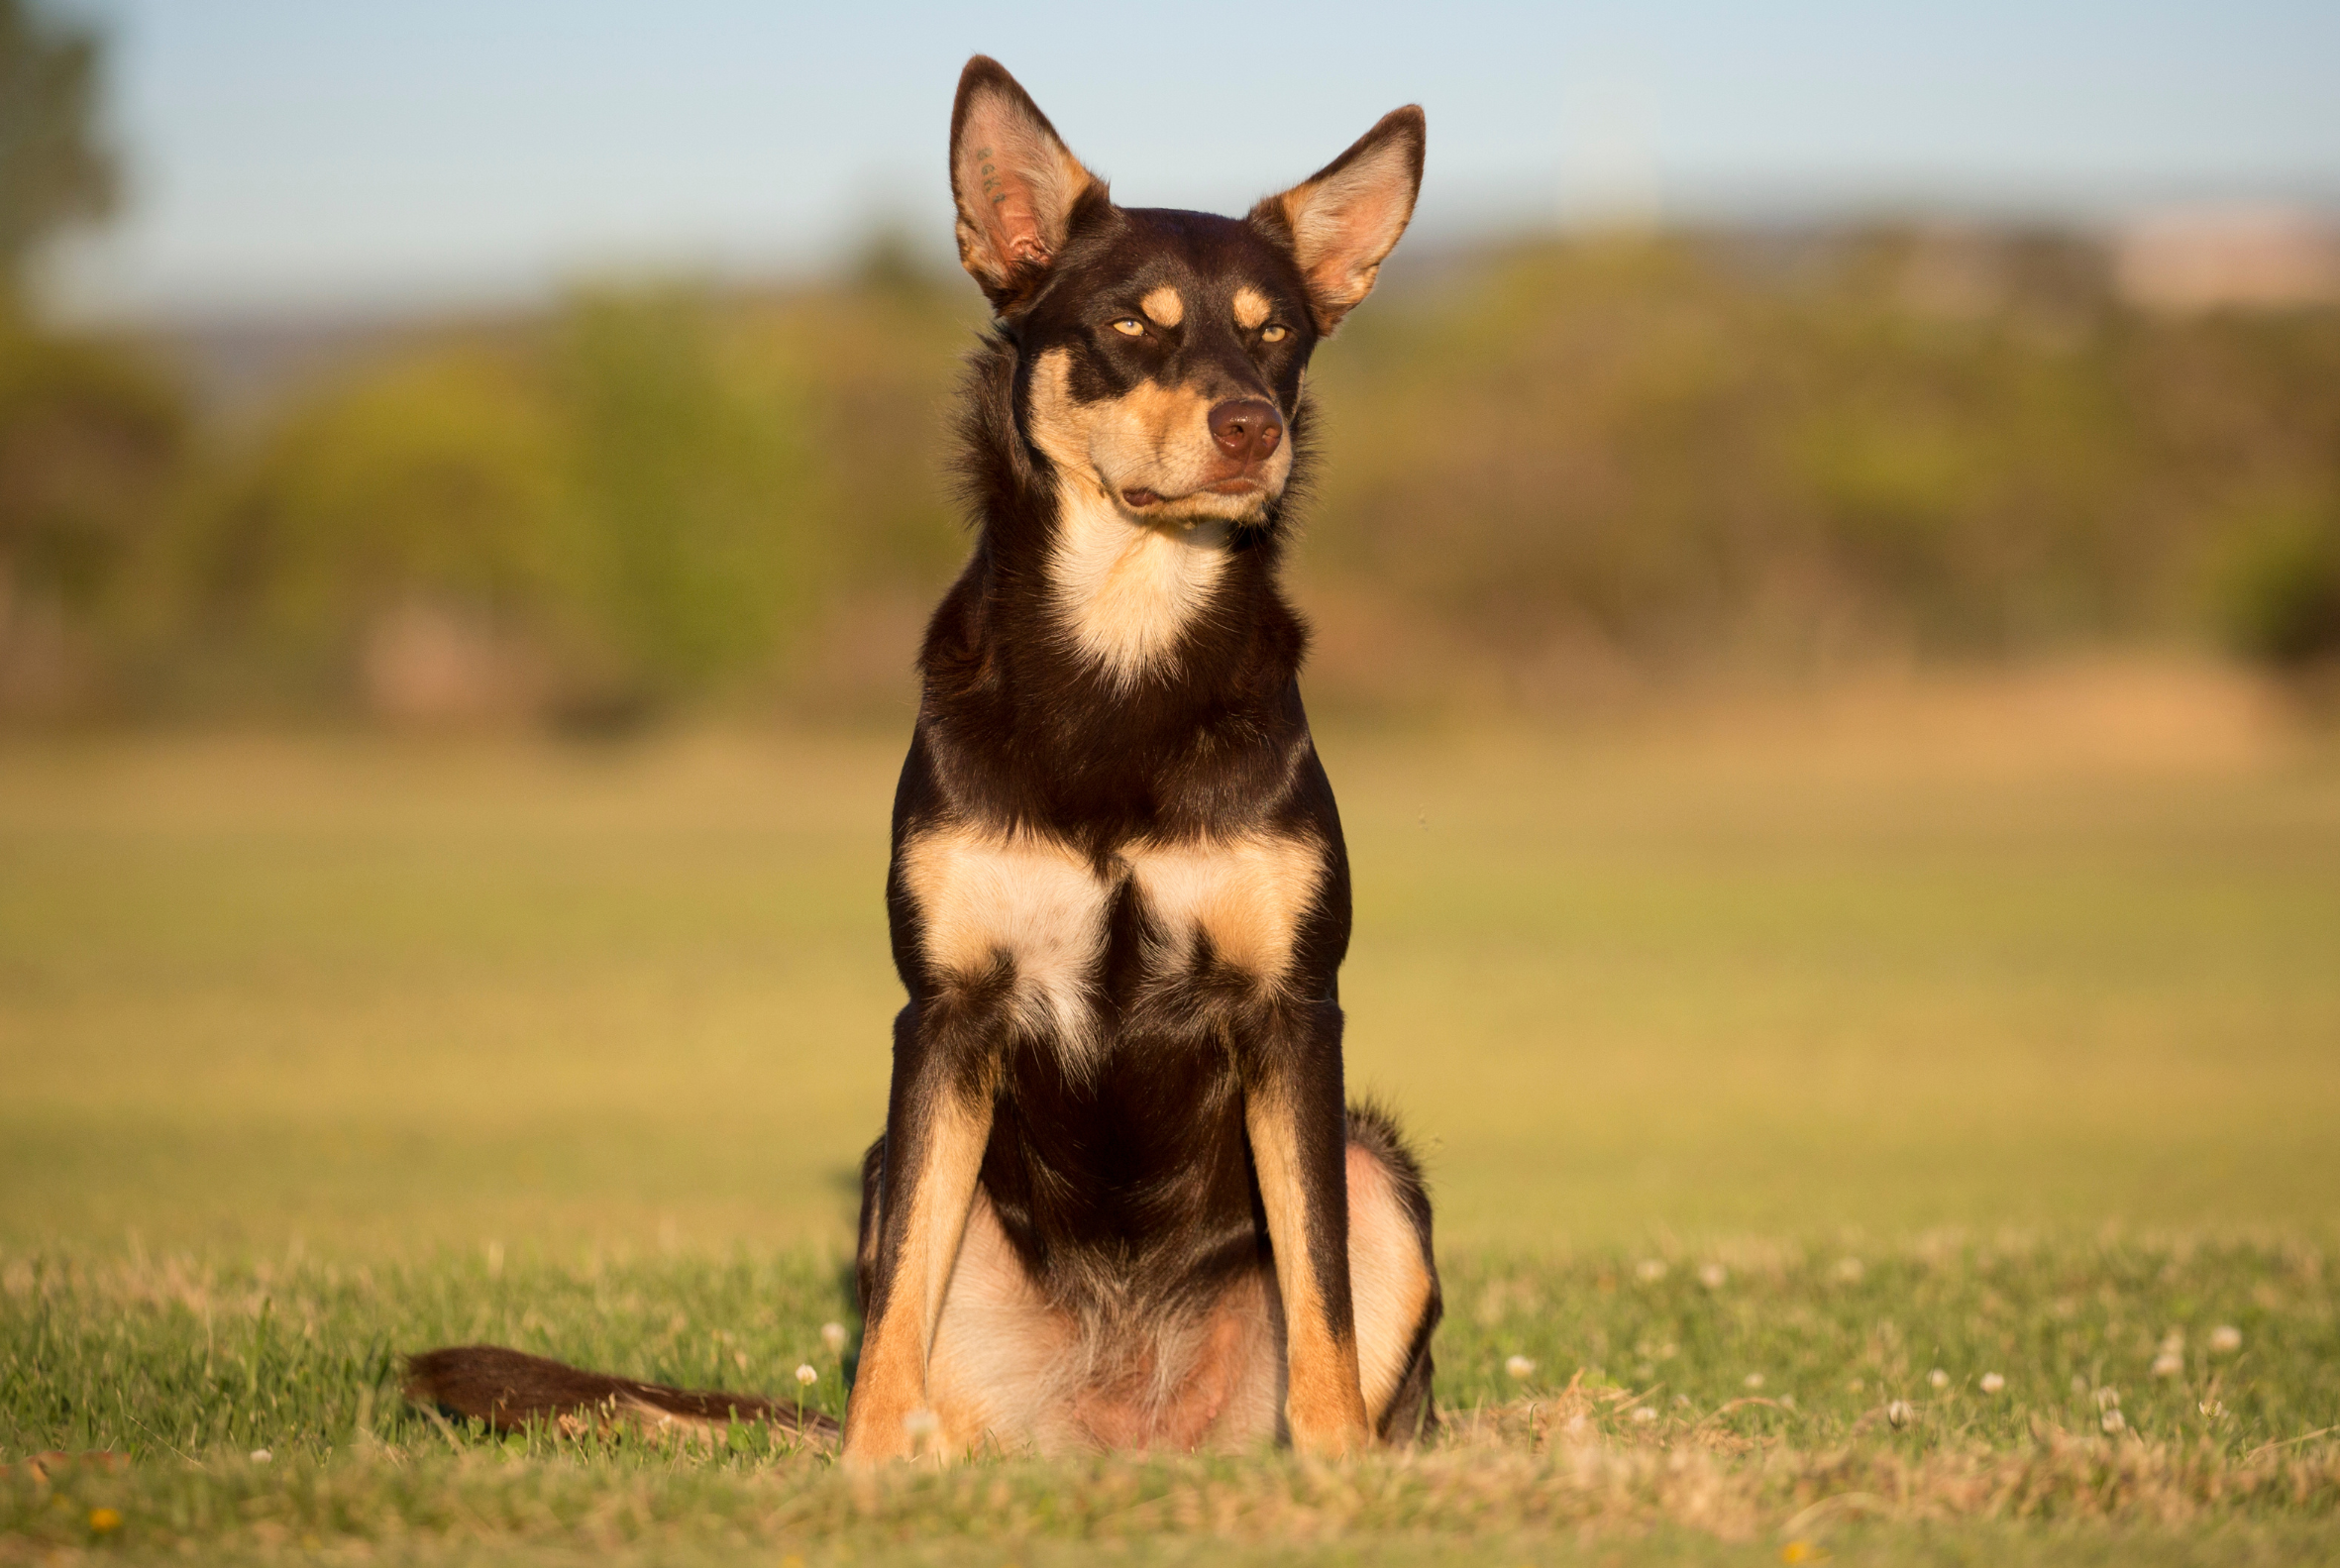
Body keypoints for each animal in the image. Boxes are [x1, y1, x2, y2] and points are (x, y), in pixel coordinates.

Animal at [404, 54, 1432, 1469]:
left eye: (1275, 334)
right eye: (1132, 325)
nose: (1249, 429)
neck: (1121, 651)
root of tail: (1124, 1439)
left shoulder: (1292, 1006)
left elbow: (1319, 1286)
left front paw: (1338, 1476)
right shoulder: (945, 1015)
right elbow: (893, 1305)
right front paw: (867, 1469)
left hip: (1381, 1167)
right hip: (897, 1167)